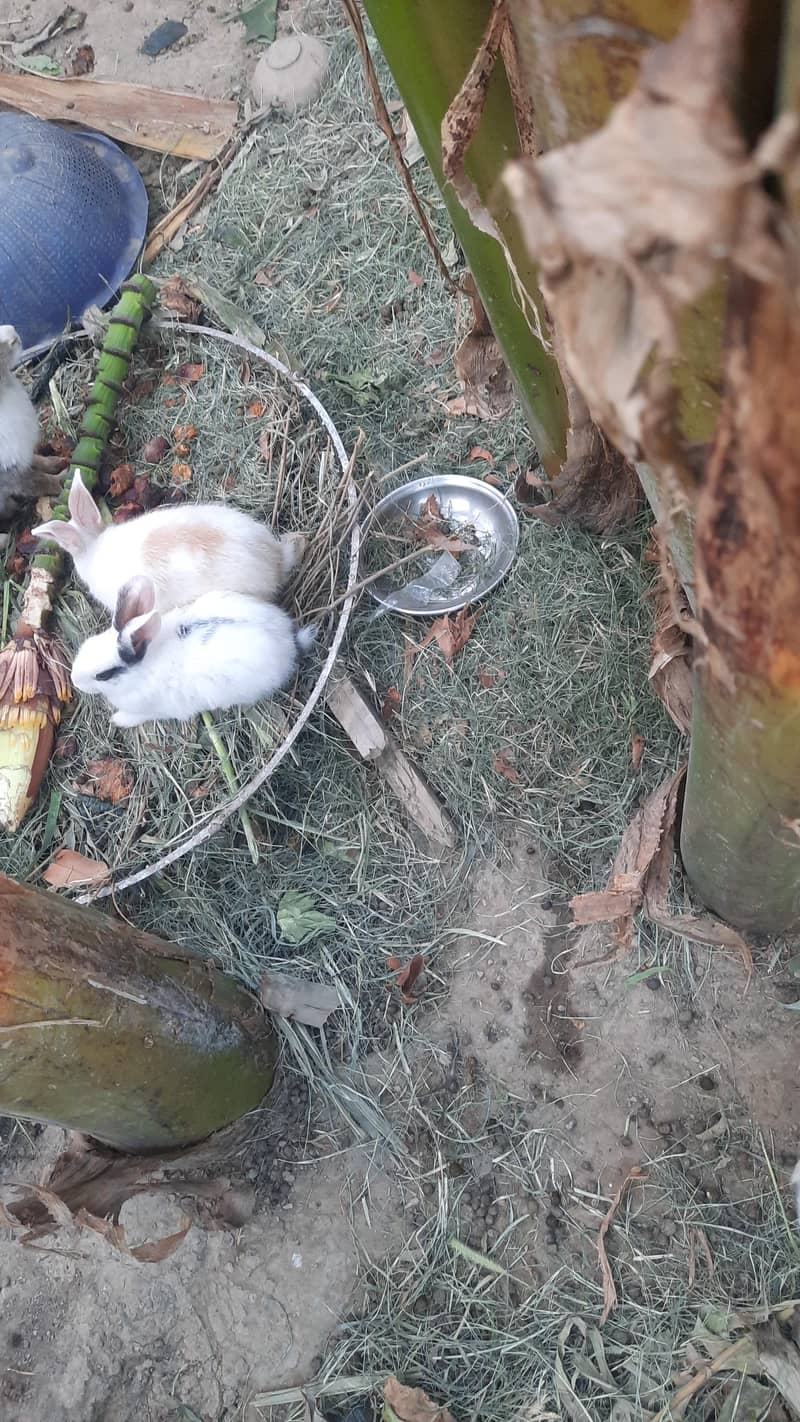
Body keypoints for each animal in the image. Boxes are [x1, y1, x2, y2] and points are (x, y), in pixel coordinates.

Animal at [0, 325, 65, 526]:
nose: (14, 334)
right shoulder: (11, 476)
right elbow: (40, 482)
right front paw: (63, 478)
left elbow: (37, 462)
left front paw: (56, 462)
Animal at [71, 573, 315, 727]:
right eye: (87, 643)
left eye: (104, 675)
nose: (74, 681)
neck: (142, 668)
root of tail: (289, 641)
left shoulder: (149, 709)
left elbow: (134, 717)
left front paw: (117, 721)